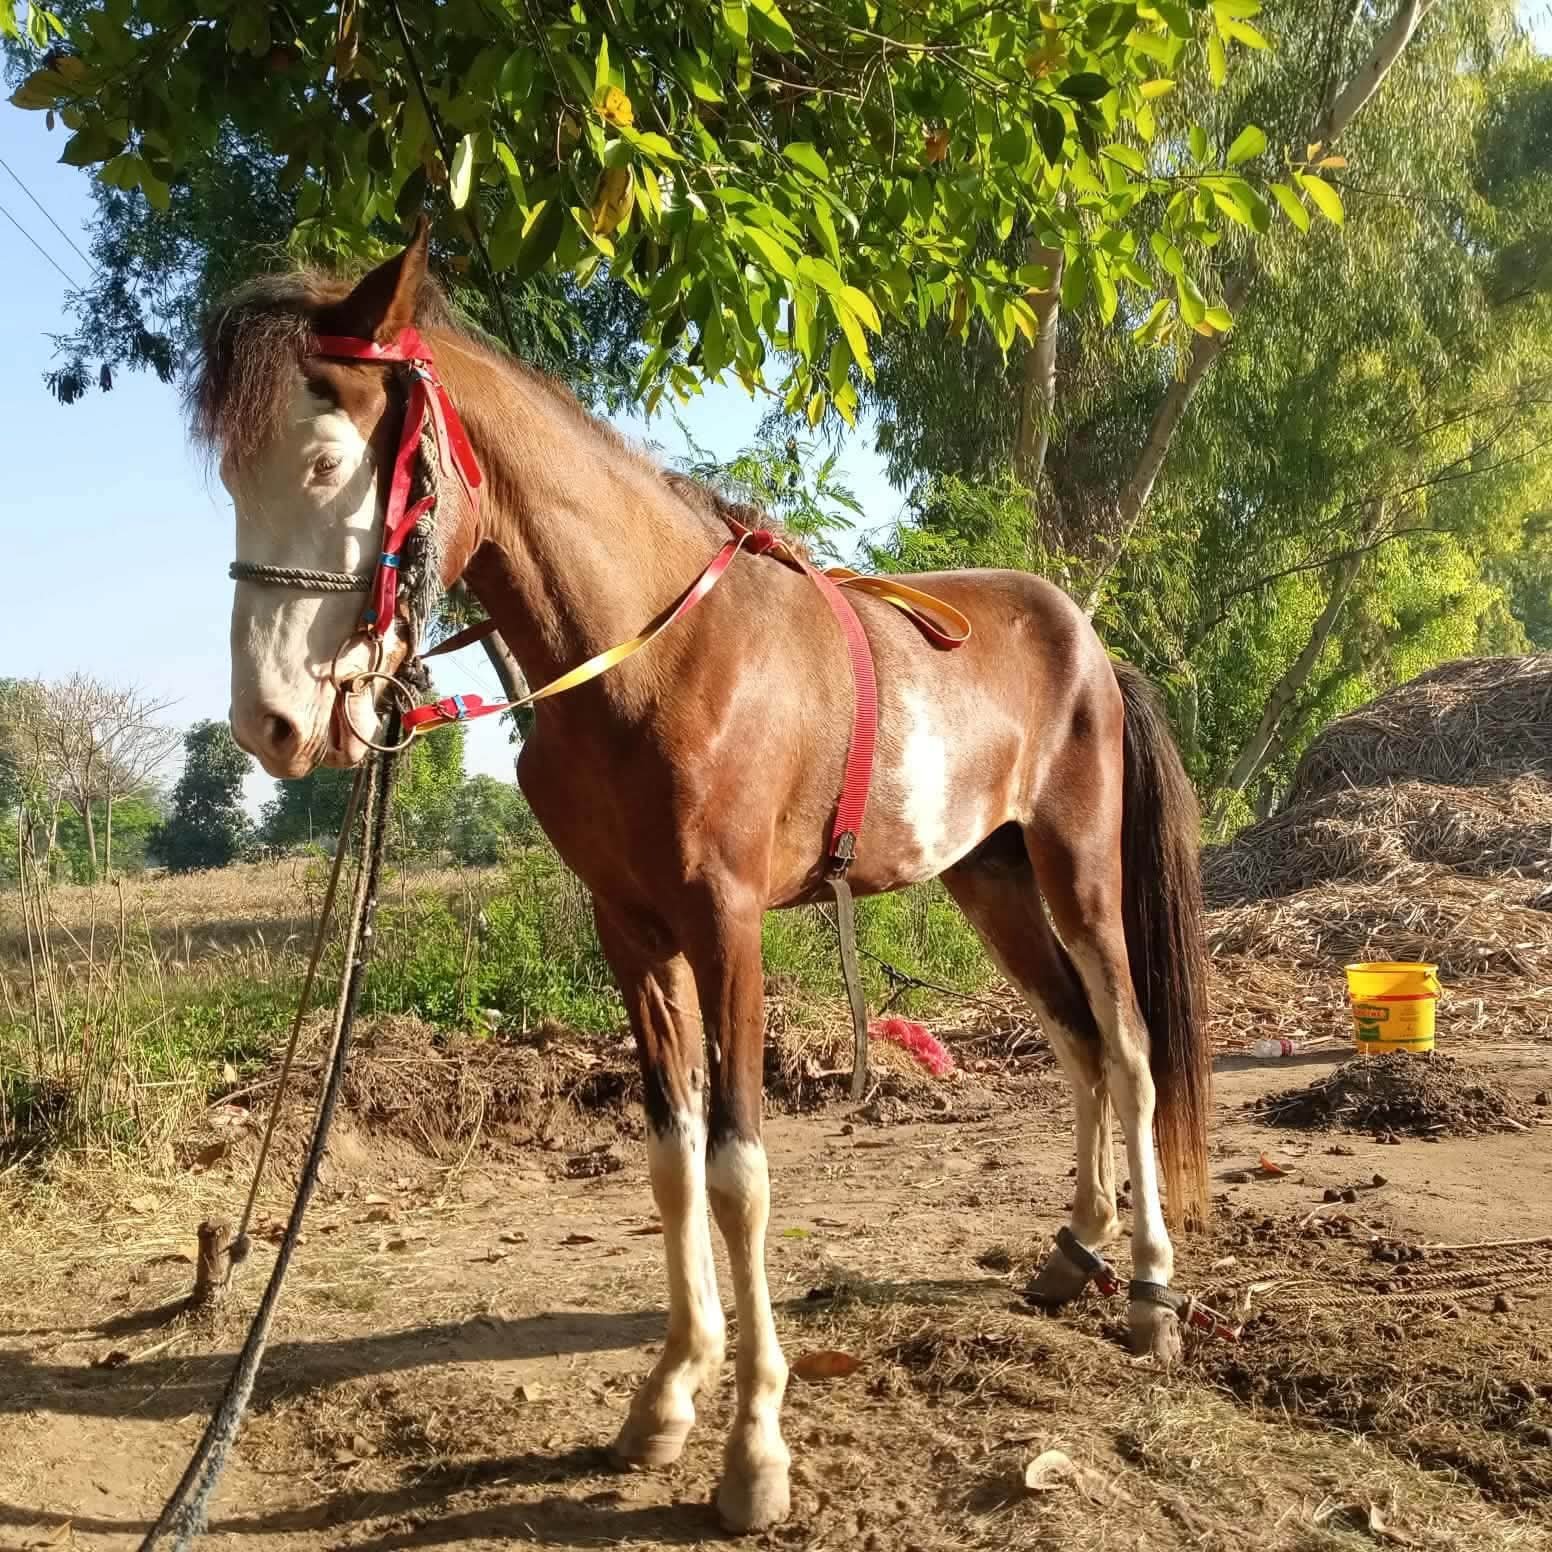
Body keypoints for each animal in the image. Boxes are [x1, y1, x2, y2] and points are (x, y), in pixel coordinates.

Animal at [202, 222, 1209, 1533]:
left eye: (326, 462)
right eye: (234, 479)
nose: (269, 725)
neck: (652, 658)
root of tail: (1084, 638)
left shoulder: (728, 927)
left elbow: (738, 1174)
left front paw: (754, 1448)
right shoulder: (631, 932)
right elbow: (672, 1157)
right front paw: (669, 1397)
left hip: (1076, 870)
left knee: (1128, 1050)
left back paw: (1146, 1290)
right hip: (986, 881)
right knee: (1078, 1041)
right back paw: (1072, 1253)